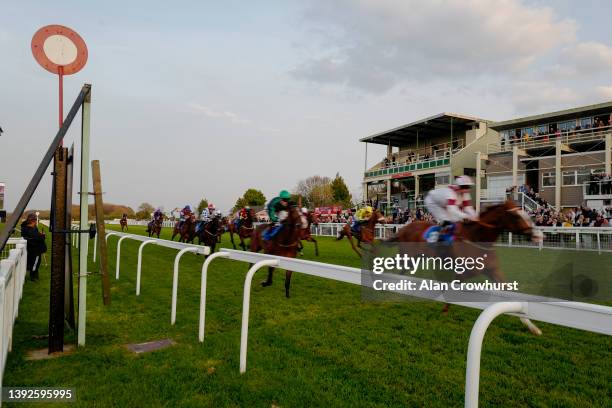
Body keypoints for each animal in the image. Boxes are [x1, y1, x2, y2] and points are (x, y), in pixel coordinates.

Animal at [390, 198, 544, 334]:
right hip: (407, 257)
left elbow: (510, 293)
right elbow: (449, 289)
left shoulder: (493, 271)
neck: (477, 239)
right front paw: (444, 309)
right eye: (516, 216)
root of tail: (404, 229)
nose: (537, 235)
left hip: (415, 259)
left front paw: (532, 327)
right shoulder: (463, 273)